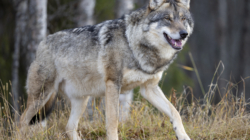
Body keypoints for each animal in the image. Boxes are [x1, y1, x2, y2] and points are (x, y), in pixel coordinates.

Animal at [20, 0, 194, 139]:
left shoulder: (149, 88)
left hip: (81, 100)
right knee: (21, 121)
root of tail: (42, 43)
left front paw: (183, 136)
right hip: (41, 96)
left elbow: (175, 112)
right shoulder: (113, 84)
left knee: (69, 127)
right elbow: (113, 121)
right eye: (167, 19)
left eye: (183, 19)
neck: (133, 42)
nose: (184, 34)